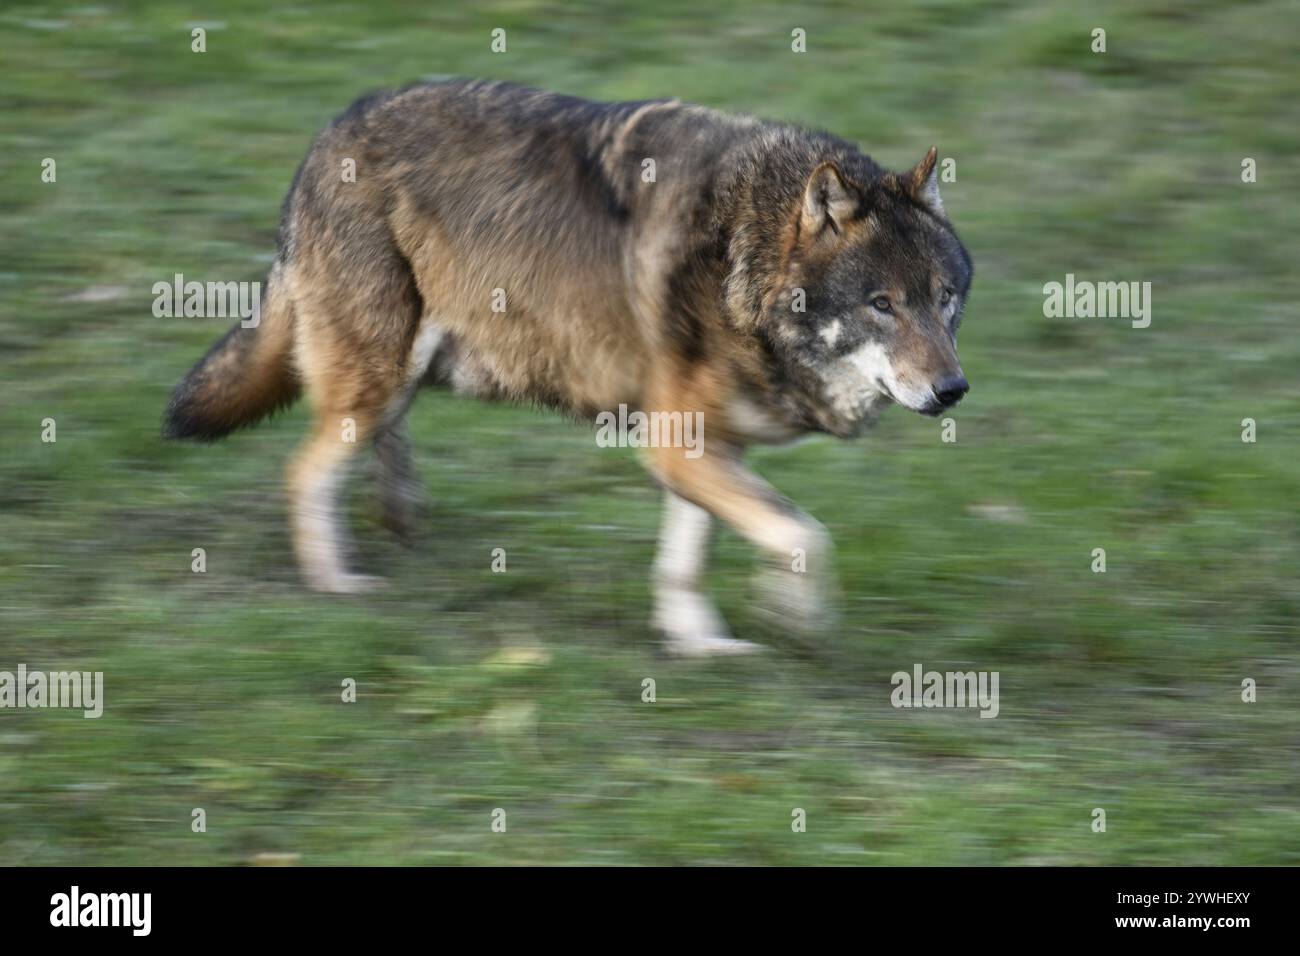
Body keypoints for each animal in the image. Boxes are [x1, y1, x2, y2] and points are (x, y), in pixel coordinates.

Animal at [164, 79, 973, 656]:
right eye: (882, 305)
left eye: (944, 299)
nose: (953, 390)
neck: (743, 259)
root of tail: (329, 133)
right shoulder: (677, 443)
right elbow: (806, 535)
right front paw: (790, 614)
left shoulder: (699, 445)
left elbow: (689, 557)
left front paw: (698, 643)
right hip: (378, 372)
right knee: (305, 472)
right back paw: (335, 581)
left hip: (409, 369)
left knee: (376, 443)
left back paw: (398, 515)